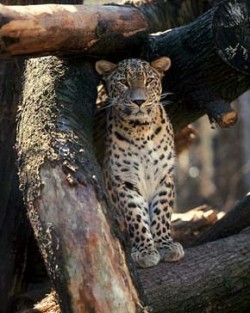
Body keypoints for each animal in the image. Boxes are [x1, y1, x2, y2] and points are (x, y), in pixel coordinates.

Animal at [95, 57, 184, 266]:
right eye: (124, 82)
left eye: (148, 81)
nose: (139, 101)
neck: (140, 130)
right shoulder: (125, 181)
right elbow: (135, 215)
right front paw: (145, 250)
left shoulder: (164, 176)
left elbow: (161, 212)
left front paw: (165, 245)